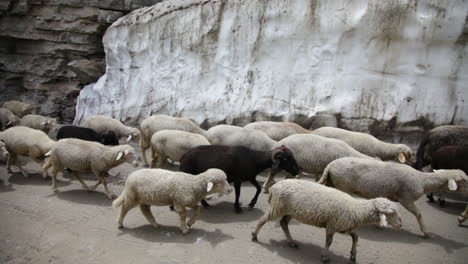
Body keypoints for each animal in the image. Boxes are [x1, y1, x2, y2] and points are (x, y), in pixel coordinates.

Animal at [250, 178, 400, 262]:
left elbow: (356, 237)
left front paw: (353, 255)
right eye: (391, 213)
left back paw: (291, 242)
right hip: (278, 207)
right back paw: (254, 236)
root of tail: (274, 187)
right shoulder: (332, 226)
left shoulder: (343, 226)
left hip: (290, 211)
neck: (355, 209)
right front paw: (324, 257)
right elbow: (329, 242)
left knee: (283, 224)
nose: (400, 224)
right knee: (262, 220)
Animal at [316, 157, 466, 237]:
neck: (422, 181)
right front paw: (425, 232)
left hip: (332, 183)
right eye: (462, 181)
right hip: (343, 185)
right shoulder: (406, 198)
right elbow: (418, 214)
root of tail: (330, 165)